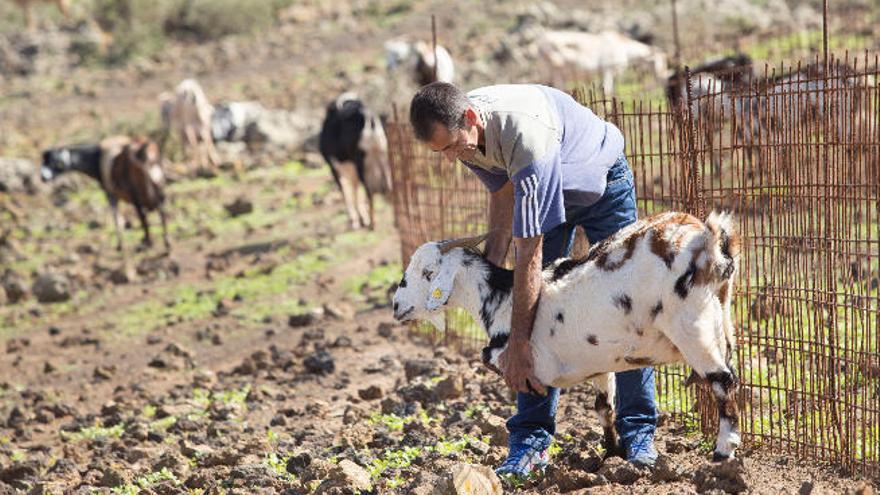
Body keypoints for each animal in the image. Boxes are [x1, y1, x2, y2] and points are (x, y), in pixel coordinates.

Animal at [320, 93, 392, 231]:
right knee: (390, 186)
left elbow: (347, 192)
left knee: (368, 191)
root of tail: (370, 117)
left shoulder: (335, 167)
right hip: (385, 157)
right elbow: (355, 191)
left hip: (361, 162)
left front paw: (355, 221)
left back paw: (372, 223)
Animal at [392, 211, 744, 464]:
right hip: (719, 317)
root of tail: (709, 239)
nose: (396, 306)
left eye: (427, 273)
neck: (504, 297)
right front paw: (611, 453)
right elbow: (603, 406)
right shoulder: (600, 360)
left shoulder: (530, 367)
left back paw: (723, 450)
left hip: (690, 324)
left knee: (722, 380)